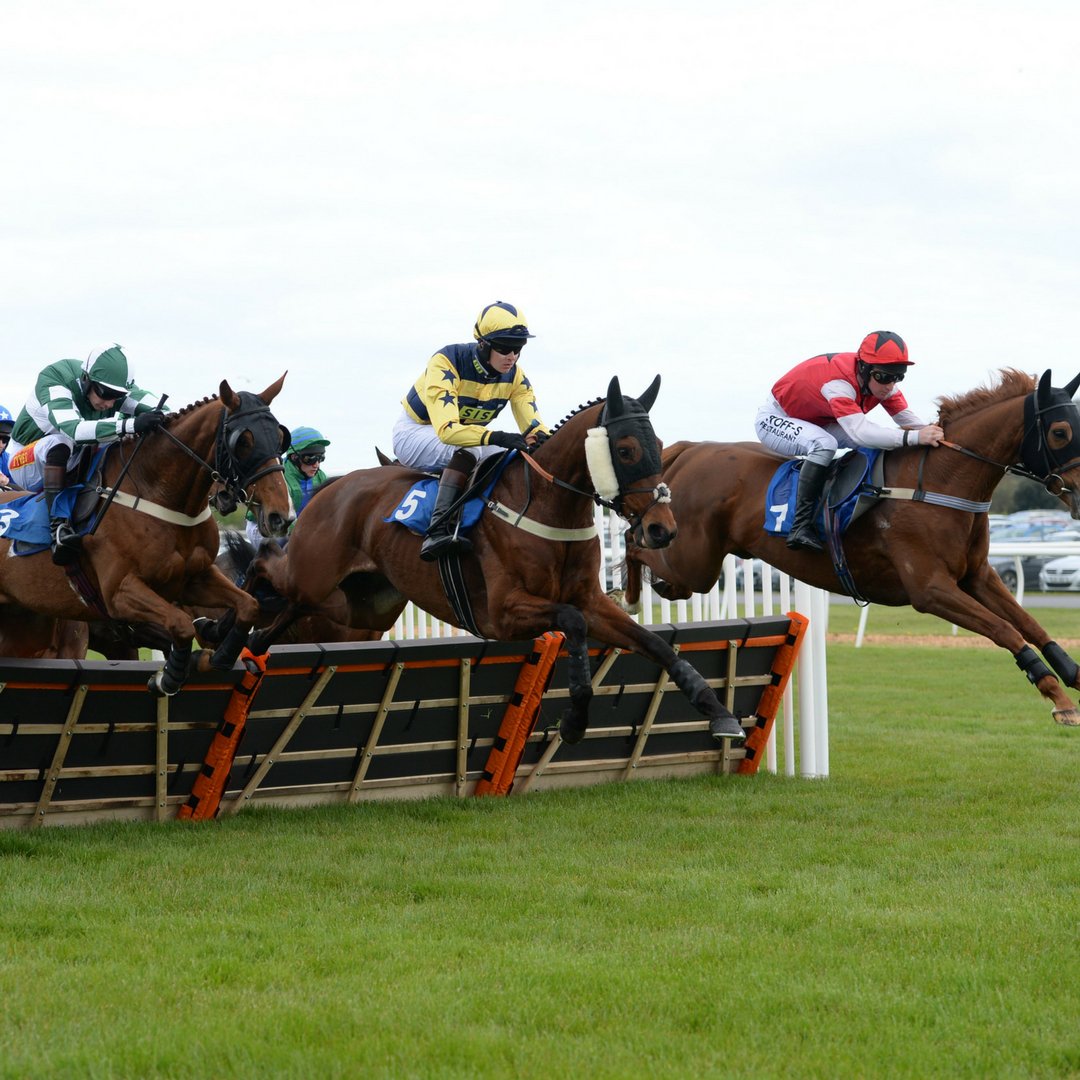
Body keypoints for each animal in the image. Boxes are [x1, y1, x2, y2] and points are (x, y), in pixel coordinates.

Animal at [0, 371, 291, 691]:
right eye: (244, 441)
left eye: (281, 438)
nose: (280, 515)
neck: (157, 495)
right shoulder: (120, 593)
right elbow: (180, 624)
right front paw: (170, 674)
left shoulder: (196, 578)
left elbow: (248, 604)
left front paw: (221, 649)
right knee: (59, 445)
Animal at [250, 378, 751, 743]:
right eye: (625, 449)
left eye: (660, 443)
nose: (663, 529)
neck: (551, 506)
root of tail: (330, 487)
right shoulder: (504, 612)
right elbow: (572, 623)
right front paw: (574, 720)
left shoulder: (591, 600)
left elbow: (658, 645)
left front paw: (720, 714)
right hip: (314, 578)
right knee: (268, 568)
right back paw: (239, 606)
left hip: (360, 606)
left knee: (284, 614)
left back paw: (246, 645)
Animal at [622, 367, 1080, 730]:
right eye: (1060, 432)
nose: (1079, 491)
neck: (939, 483)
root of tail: (691, 449)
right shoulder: (931, 589)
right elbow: (1005, 630)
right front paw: (1058, 698)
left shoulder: (977, 577)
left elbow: (1031, 624)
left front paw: (1071, 675)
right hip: (692, 562)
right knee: (635, 542)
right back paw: (628, 595)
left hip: (693, 568)